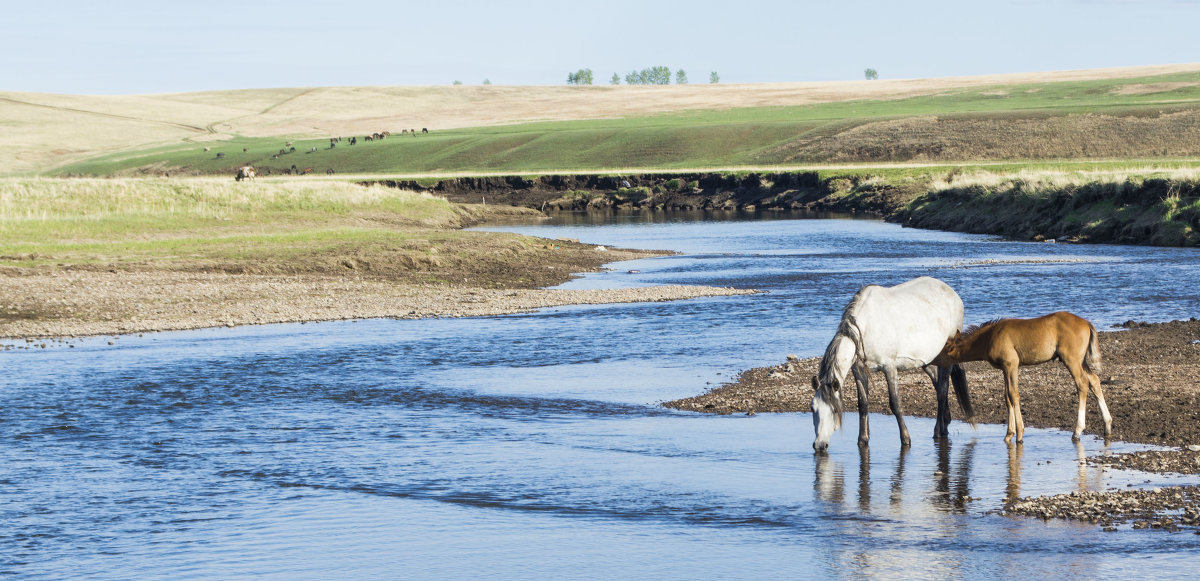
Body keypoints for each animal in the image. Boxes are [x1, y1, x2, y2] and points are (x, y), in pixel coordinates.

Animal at [816, 278, 974, 453]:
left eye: (834, 410)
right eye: (812, 408)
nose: (819, 445)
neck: (866, 327)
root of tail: (954, 295)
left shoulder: (889, 367)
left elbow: (895, 403)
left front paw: (906, 439)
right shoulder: (858, 370)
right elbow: (862, 404)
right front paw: (863, 440)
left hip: (946, 355)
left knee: (942, 391)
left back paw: (938, 431)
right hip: (928, 360)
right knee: (938, 385)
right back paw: (945, 422)